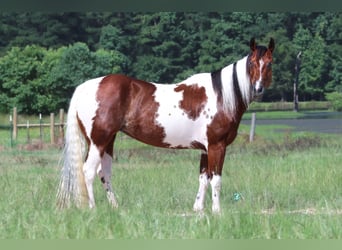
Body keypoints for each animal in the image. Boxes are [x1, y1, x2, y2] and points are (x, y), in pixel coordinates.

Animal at [56, 37, 276, 213]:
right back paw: (92, 208)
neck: (221, 96)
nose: (258, 89)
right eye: (252, 63)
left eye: (269, 64)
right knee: (88, 171)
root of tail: (85, 87)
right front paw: (217, 211)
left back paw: (115, 207)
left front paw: (198, 209)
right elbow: (216, 179)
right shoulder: (217, 146)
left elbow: (203, 178)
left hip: (108, 141)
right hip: (98, 141)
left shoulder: (205, 149)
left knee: (104, 173)